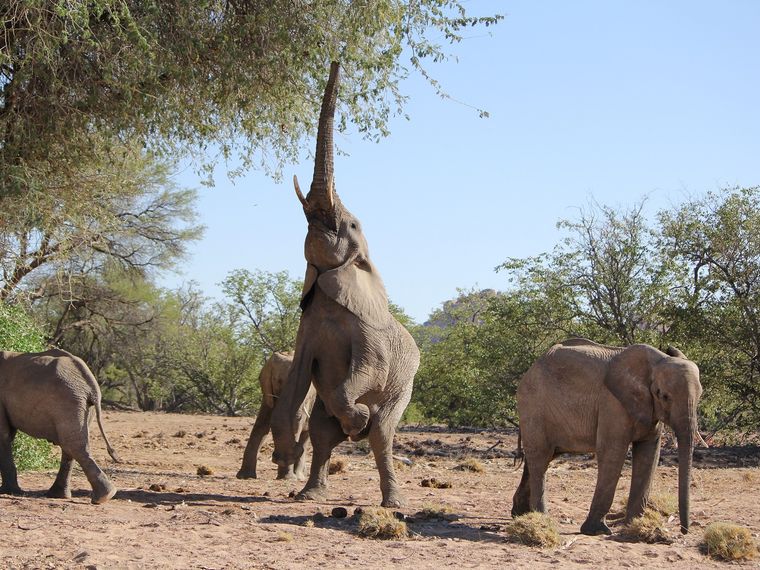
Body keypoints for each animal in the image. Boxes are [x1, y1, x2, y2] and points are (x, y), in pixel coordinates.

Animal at [0, 346, 121, 502]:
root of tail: (91, 384)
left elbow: (3, 435)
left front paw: (7, 492)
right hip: (81, 404)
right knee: (70, 445)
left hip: (68, 400)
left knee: (72, 445)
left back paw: (103, 497)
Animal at [268, 62, 422, 506]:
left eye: (351, 225)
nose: (337, 58)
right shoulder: (306, 329)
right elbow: (296, 386)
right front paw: (284, 455)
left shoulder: (370, 336)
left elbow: (368, 372)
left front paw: (360, 418)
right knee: (323, 431)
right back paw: (309, 494)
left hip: (404, 387)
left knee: (384, 435)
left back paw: (392, 500)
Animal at [512, 338, 704, 532]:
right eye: (663, 396)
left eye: (700, 395)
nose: (684, 530)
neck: (656, 361)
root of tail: (531, 369)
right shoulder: (612, 403)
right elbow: (613, 452)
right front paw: (596, 530)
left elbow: (649, 454)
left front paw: (634, 525)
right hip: (533, 406)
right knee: (540, 458)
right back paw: (542, 519)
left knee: (542, 457)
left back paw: (520, 514)